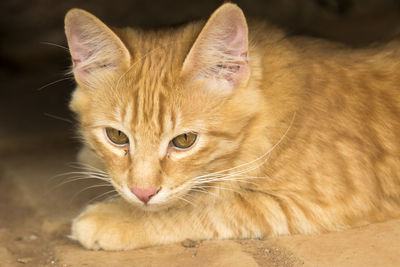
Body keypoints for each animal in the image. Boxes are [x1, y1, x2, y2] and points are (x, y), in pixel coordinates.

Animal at [65, 3, 400, 251]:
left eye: (184, 140)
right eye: (116, 136)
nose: (142, 193)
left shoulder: (325, 201)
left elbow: (203, 207)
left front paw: (116, 218)